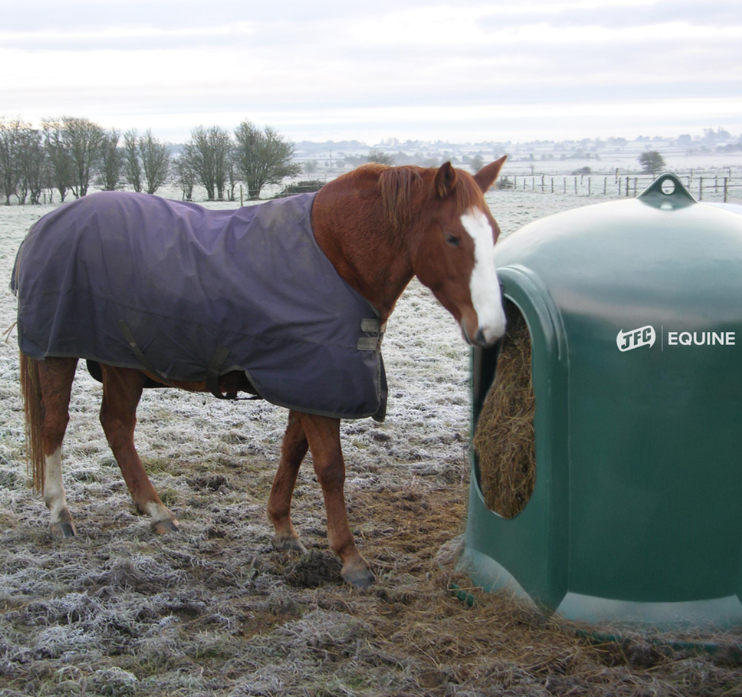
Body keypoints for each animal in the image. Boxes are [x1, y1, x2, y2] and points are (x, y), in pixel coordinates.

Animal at [14, 157, 507, 588]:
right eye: (452, 238)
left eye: (495, 233)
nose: (493, 329)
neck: (337, 255)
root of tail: (44, 227)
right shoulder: (317, 384)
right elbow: (330, 468)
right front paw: (350, 558)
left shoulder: (309, 383)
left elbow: (292, 452)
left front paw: (284, 530)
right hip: (58, 353)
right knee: (55, 426)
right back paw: (60, 515)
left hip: (124, 363)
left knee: (116, 426)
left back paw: (157, 513)